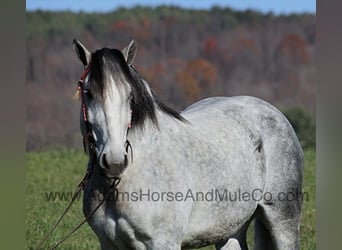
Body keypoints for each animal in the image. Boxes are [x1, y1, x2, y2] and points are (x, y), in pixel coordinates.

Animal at [73, 39, 304, 250]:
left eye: (130, 95)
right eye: (88, 93)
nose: (115, 161)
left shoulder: (163, 243)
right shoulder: (109, 244)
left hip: (283, 221)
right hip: (230, 229)